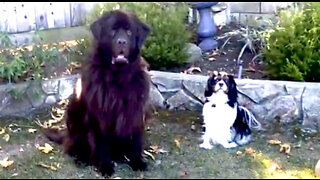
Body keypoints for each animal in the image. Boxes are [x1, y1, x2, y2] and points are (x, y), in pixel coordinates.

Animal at [43, 10, 151, 177]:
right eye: (113, 30)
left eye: (129, 32)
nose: (122, 42)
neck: (118, 78)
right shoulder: (99, 116)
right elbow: (101, 143)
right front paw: (105, 166)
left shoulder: (135, 112)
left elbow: (135, 140)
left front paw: (137, 161)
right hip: (73, 116)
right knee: (74, 146)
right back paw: (81, 158)